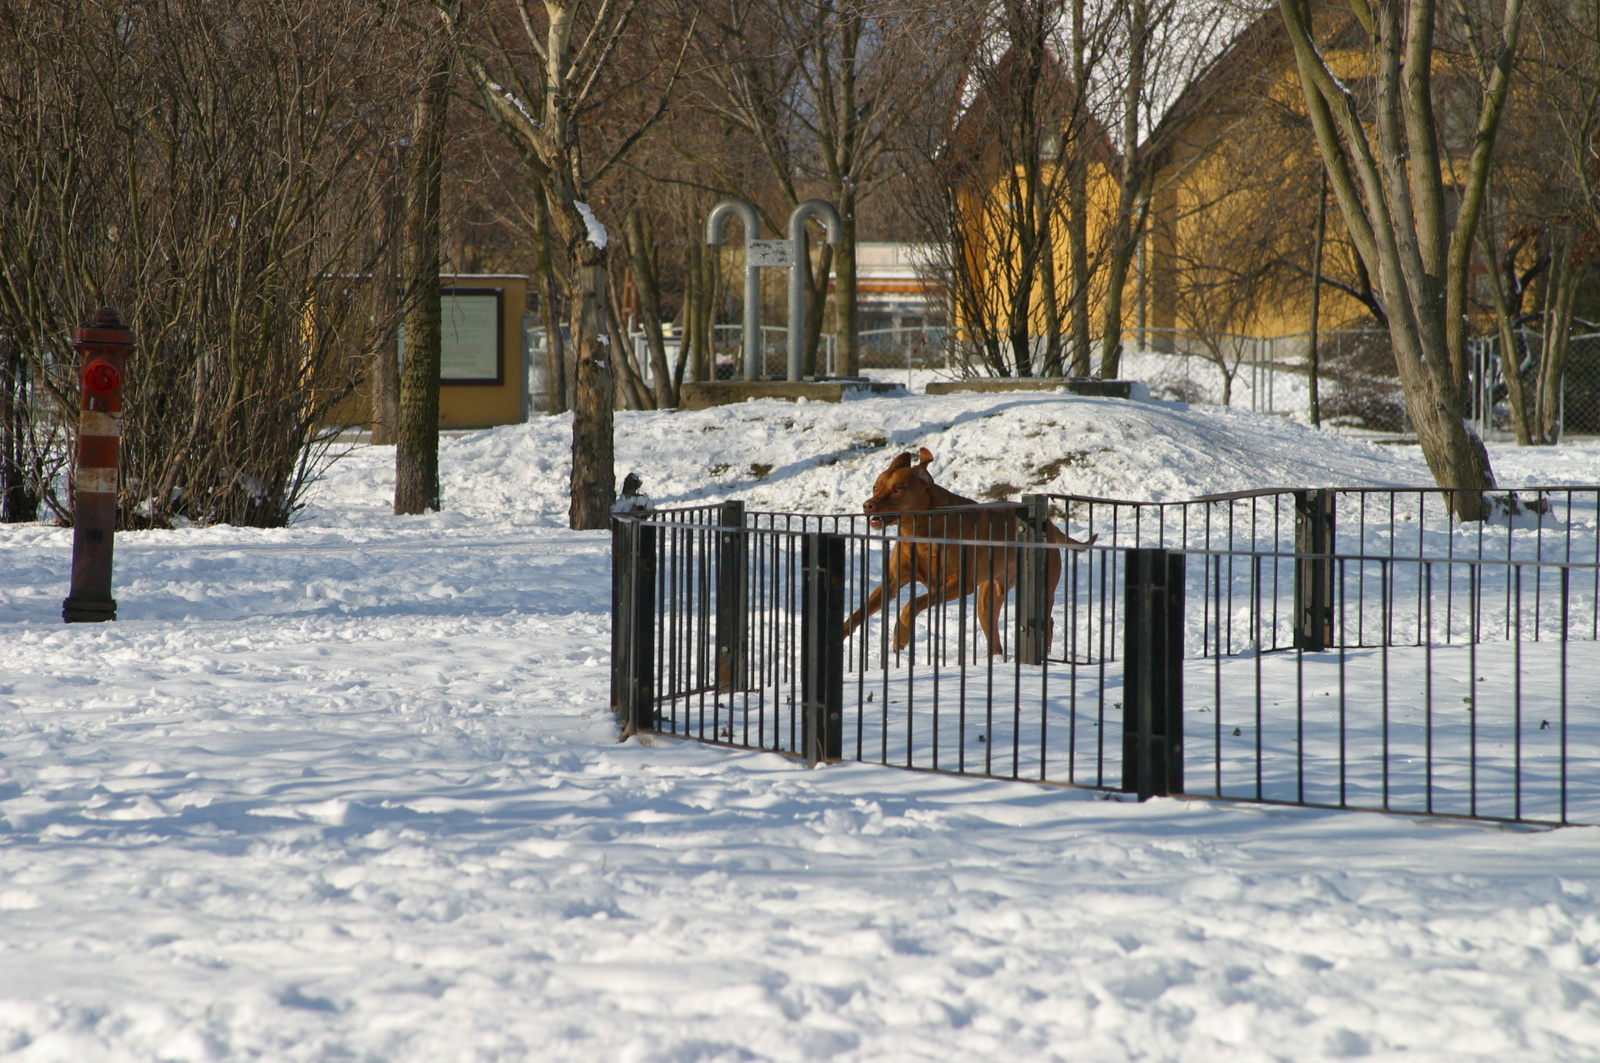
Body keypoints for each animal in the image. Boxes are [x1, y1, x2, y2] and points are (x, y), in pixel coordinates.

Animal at [844, 445, 1094, 656]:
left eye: (898, 489)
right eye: (875, 486)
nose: (868, 505)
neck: (921, 530)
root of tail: (1049, 524)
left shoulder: (960, 583)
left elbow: (912, 603)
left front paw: (900, 636)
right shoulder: (894, 580)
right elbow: (860, 611)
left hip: (1043, 585)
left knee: (1047, 622)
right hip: (989, 597)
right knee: (992, 630)